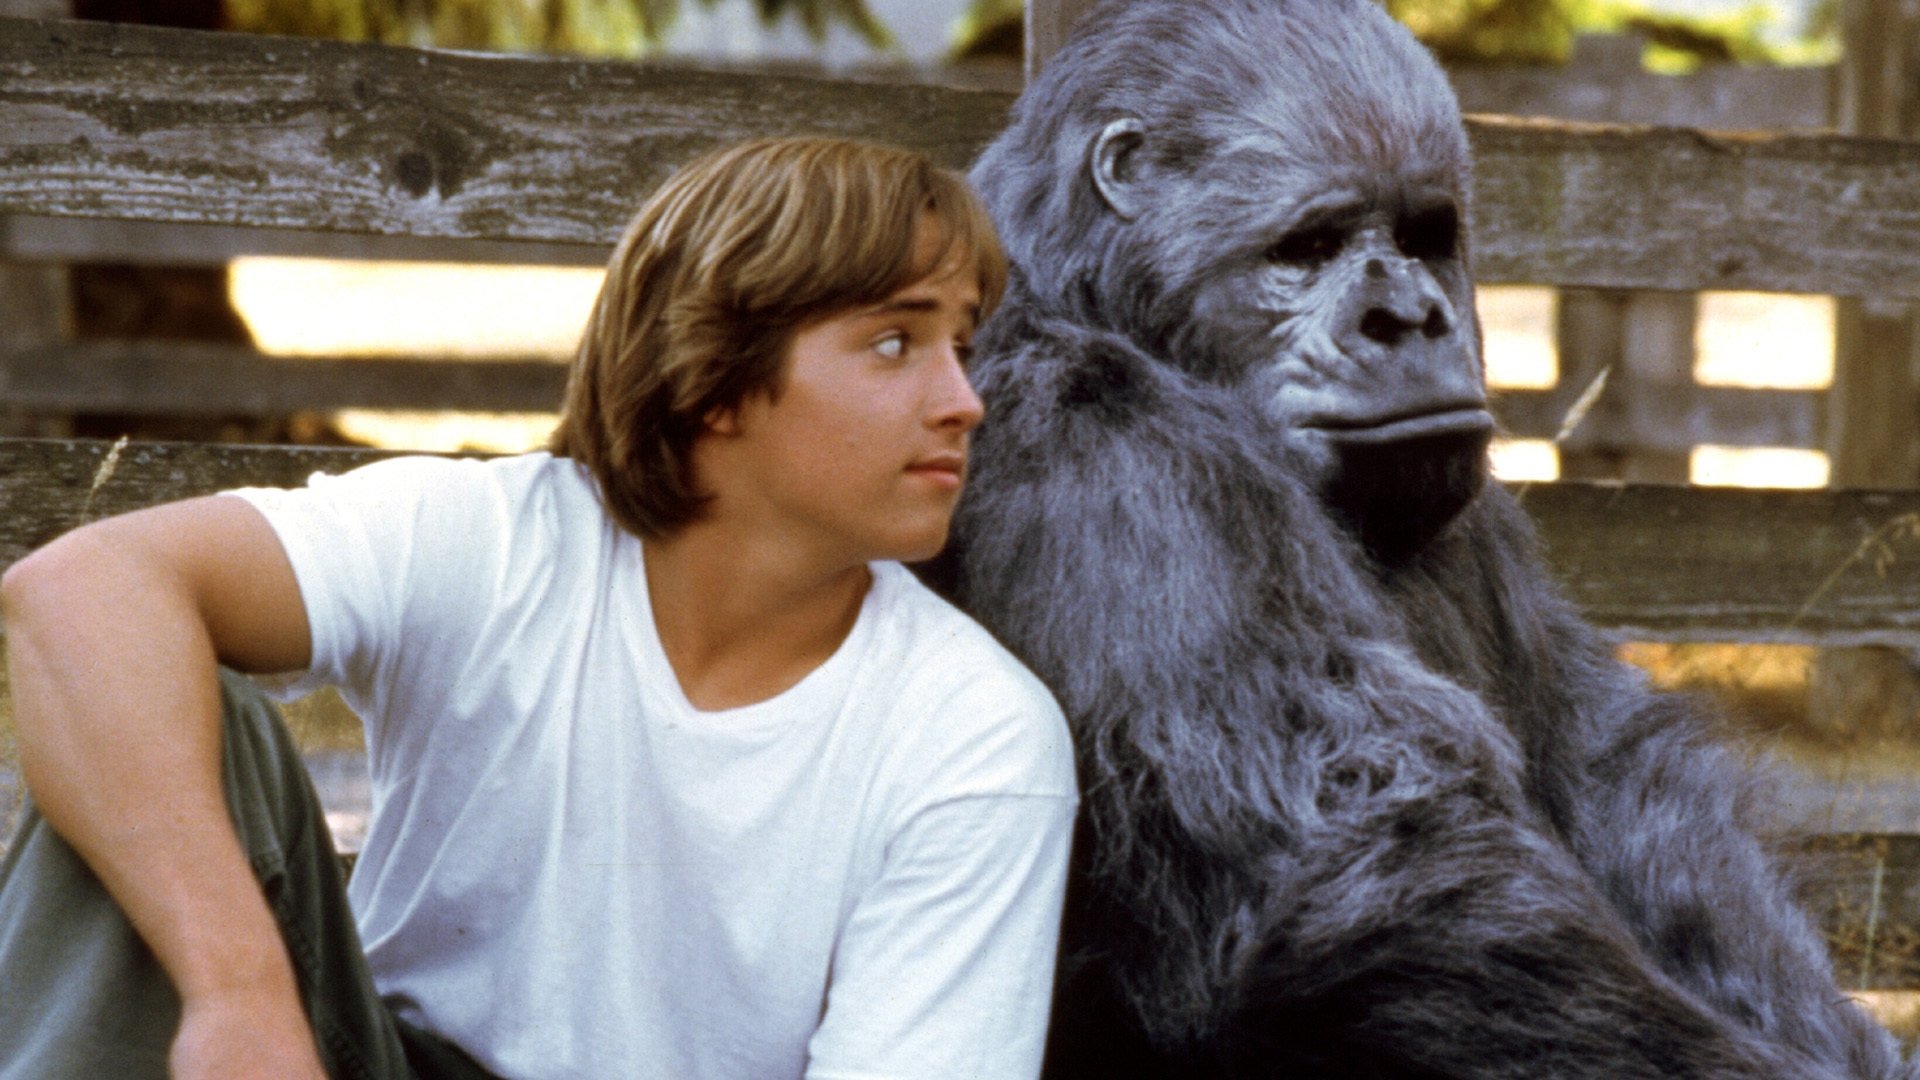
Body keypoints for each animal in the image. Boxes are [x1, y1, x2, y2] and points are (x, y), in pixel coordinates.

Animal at [935, 0, 1917, 1075]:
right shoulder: (1107, 455)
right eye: (1310, 247)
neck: (1102, 308)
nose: (1406, 316)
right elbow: (1364, 856)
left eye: (1424, 235)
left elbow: (1615, 787)